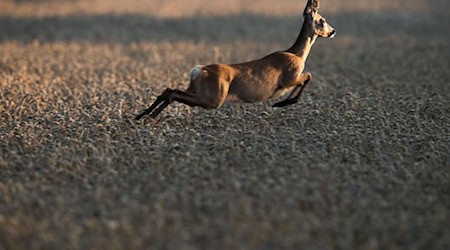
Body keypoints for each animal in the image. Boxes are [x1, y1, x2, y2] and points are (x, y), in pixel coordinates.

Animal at [136, 0, 334, 121]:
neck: (297, 54)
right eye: (322, 20)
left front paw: (282, 102)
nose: (333, 31)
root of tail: (199, 70)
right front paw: (282, 102)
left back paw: (142, 116)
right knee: (174, 93)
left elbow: (307, 77)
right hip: (214, 98)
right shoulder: (289, 77)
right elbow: (308, 76)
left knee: (170, 90)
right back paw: (148, 117)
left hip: (197, 90)